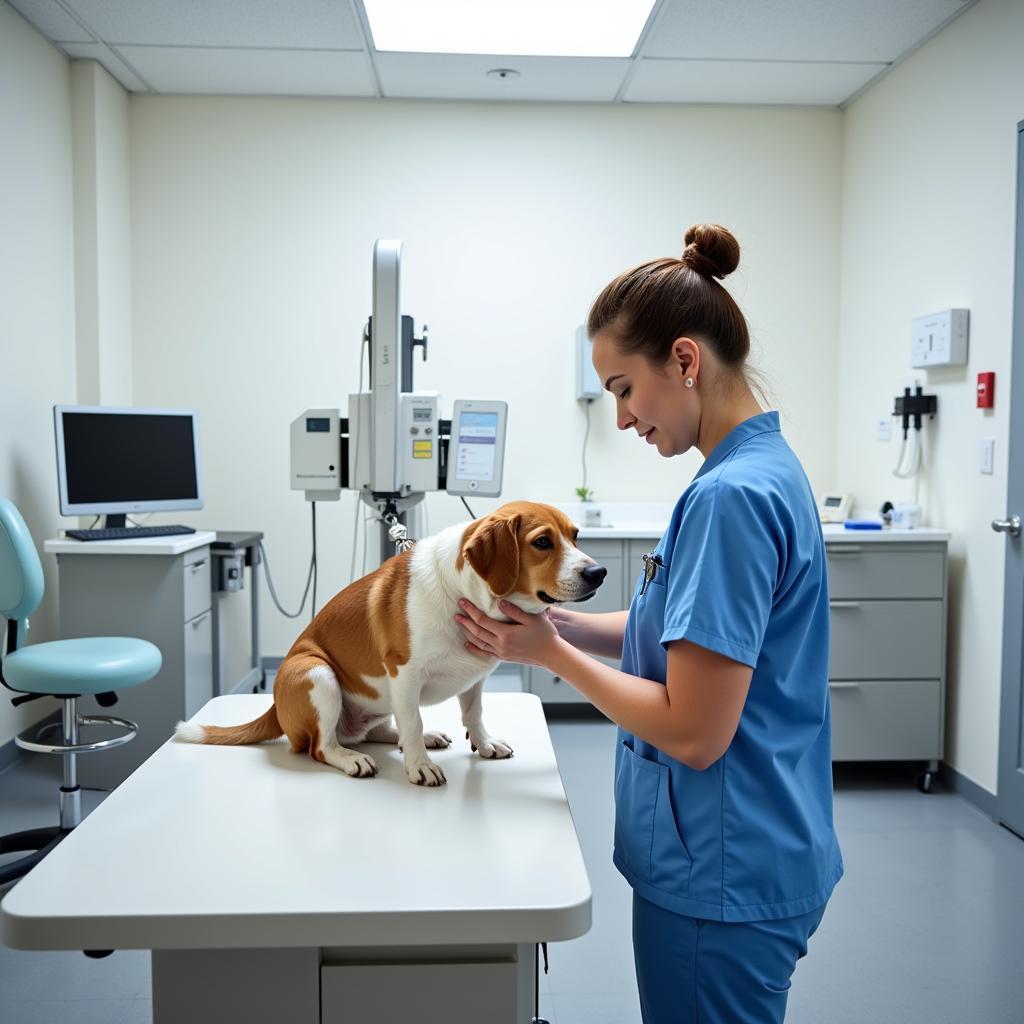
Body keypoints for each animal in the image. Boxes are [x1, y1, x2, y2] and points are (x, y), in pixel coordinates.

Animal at [176, 501, 606, 782]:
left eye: (576, 536)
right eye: (542, 542)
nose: (598, 572)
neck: (463, 592)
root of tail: (276, 707)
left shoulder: (475, 679)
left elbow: (473, 715)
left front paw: (483, 744)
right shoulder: (405, 672)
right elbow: (412, 720)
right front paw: (419, 766)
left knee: (378, 729)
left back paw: (420, 738)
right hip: (317, 673)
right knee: (323, 745)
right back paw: (353, 758)